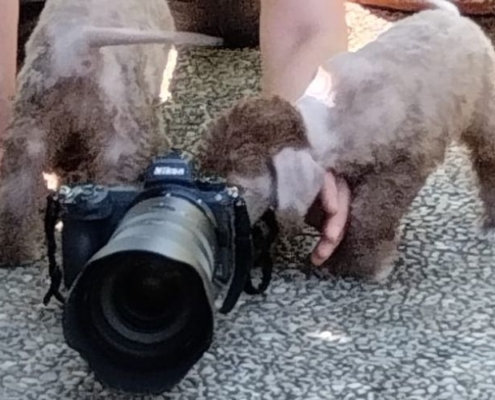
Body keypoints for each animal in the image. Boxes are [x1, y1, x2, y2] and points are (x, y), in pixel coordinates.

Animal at [200, 0, 495, 282]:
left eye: (237, 189)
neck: (326, 120)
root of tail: (454, 16)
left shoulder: (402, 167)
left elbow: (368, 216)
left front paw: (364, 263)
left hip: (484, 111)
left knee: (488, 159)